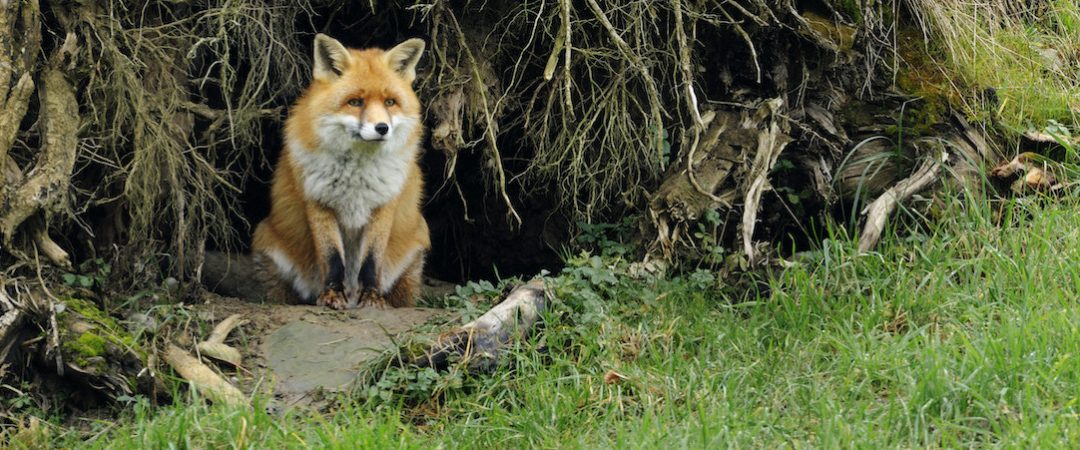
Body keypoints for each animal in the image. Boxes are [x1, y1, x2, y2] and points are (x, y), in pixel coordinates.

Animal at [252, 34, 430, 310]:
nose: (382, 128)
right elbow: (332, 258)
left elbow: (371, 261)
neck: (356, 174)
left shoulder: (384, 204)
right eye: (355, 102)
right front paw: (332, 294)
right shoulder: (318, 201)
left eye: (390, 102)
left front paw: (372, 296)